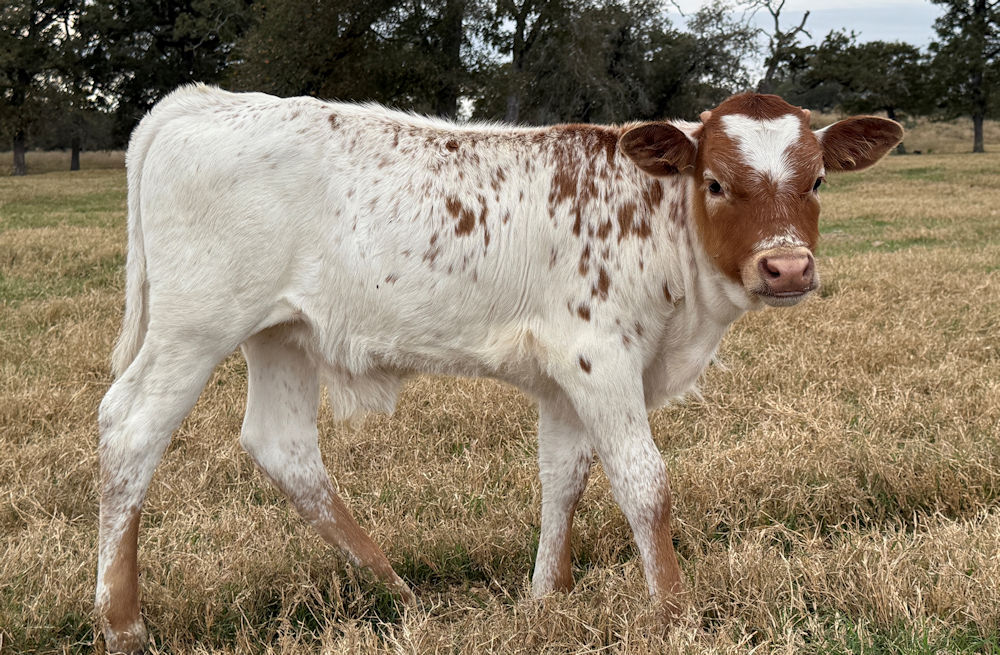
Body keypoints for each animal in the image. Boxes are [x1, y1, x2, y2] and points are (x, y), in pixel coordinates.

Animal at [96, 84, 902, 653]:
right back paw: (122, 624)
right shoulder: (600, 360)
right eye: (716, 183)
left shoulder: (565, 379)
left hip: (282, 333)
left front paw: (546, 598)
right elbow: (644, 482)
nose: (787, 266)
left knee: (282, 446)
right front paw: (676, 615)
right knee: (130, 430)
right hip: (195, 327)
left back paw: (400, 594)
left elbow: (564, 476)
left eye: (818, 181)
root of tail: (200, 101)